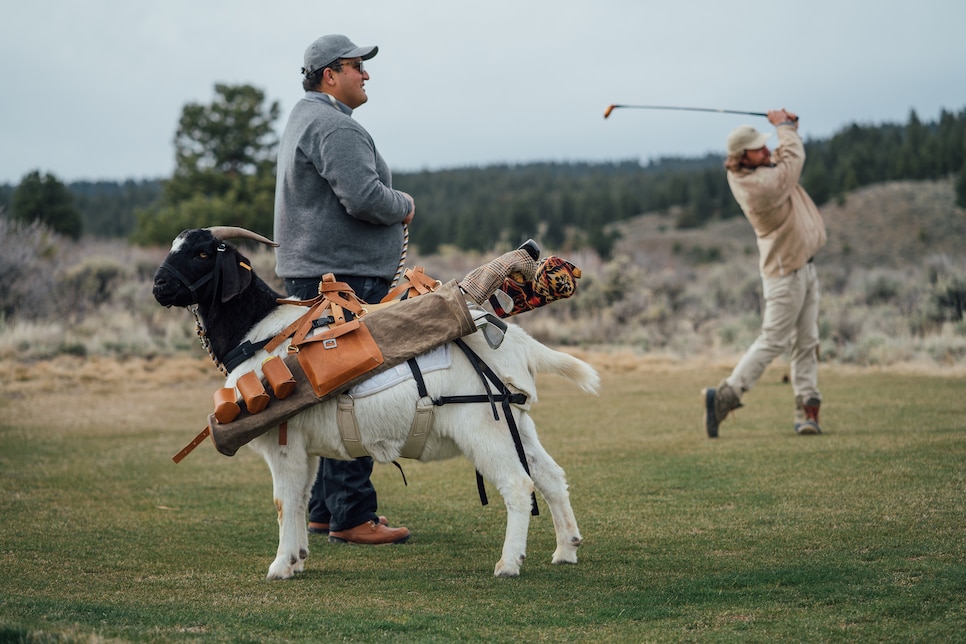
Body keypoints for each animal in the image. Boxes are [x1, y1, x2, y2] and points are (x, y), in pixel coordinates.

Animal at [152, 228, 600, 580]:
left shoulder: (283, 445)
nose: (158, 287)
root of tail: (518, 342)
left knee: (518, 485)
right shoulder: (304, 449)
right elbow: (299, 500)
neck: (257, 333)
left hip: (484, 427)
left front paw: (279, 567)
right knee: (551, 477)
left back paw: (509, 564)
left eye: (203, 252)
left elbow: (283, 501)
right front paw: (297, 559)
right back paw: (566, 548)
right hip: (515, 423)